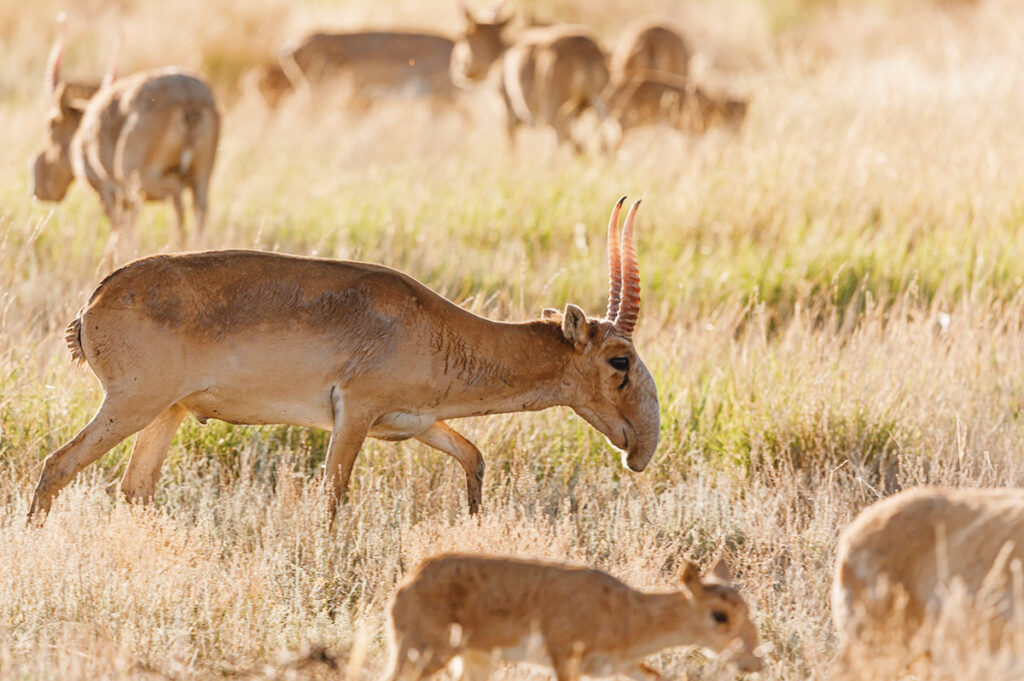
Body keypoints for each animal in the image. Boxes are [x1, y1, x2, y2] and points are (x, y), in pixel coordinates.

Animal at [29, 197, 663, 520]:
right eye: (619, 360)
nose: (641, 450)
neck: (433, 322)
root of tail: (94, 302)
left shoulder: (418, 423)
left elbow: (474, 457)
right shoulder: (353, 415)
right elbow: (331, 499)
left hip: (169, 413)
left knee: (133, 489)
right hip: (131, 406)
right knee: (57, 465)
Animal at [31, 16, 220, 246]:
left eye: (51, 126)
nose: (41, 191)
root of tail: (191, 102)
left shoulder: (107, 192)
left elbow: (119, 233)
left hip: (138, 177)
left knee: (176, 194)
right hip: (201, 176)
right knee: (199, 207)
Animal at [382, 552, 761, 679]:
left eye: (747, 608)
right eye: (719, 616)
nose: (753, 662)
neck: (629, 613)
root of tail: (405, 584)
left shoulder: (619, 667)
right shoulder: (565, 659)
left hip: (475, 660)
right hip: (423, 652)